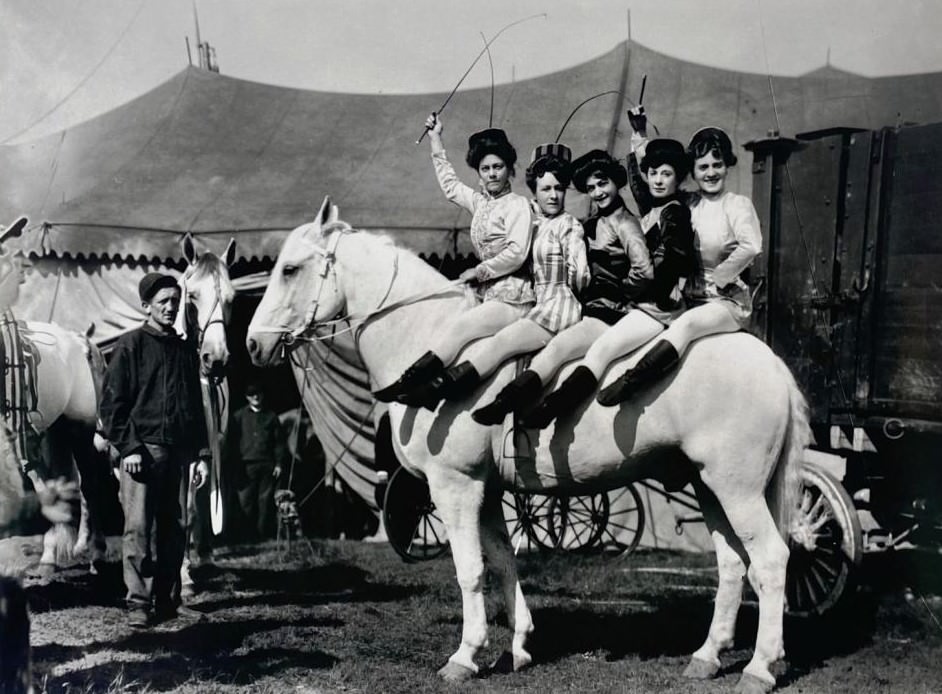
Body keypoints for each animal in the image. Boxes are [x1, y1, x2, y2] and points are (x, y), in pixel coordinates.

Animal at [247, 197, 816, 694]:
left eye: (290, 270)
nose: (253, 344)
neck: (433, 343)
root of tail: (768, 360)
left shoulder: (455, 487)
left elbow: (470, 570)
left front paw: (465, 656)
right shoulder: (487, 491)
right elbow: (502, 560)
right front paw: (517, 647)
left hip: (736, 488)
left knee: (770, 561)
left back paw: (760, 668)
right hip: (708, 486)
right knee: (733, 564)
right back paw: (708, 656)